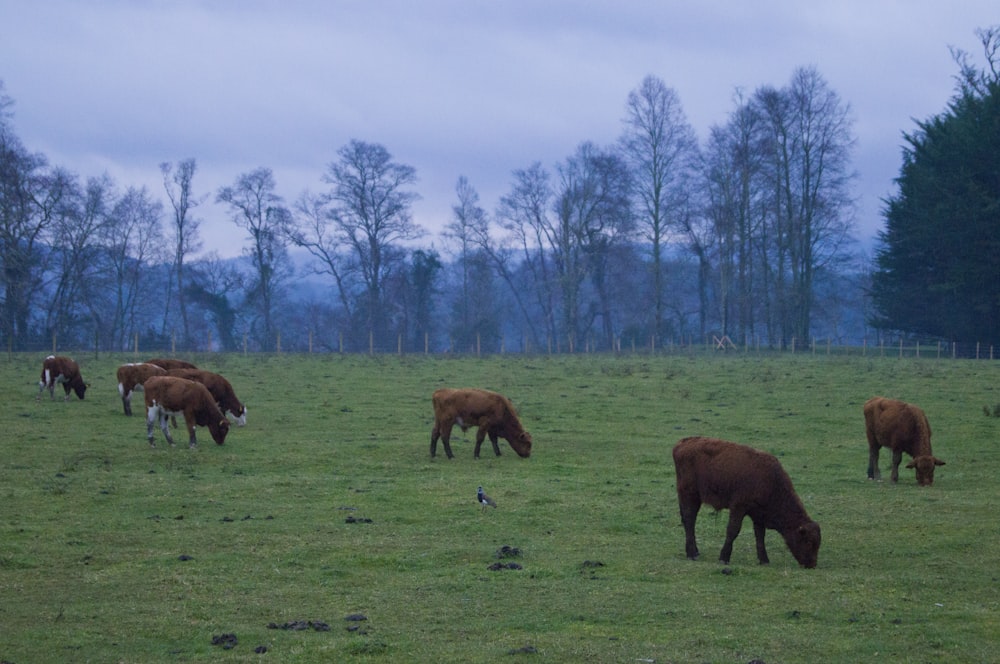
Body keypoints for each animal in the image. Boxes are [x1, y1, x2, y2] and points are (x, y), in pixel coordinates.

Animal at [672, 438, 820, 568]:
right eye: (808, 542)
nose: (812, 564)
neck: (771, 482)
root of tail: (682, 443)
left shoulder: (758, 515)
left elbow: (760, 536)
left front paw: (764, 560)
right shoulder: (739, 507)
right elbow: (733, 530)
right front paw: (724, 558)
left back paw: (695, 552)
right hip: (690, 495)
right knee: (690, 521)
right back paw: (692, 554)